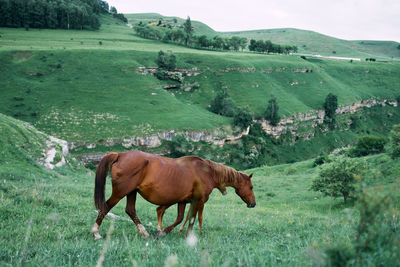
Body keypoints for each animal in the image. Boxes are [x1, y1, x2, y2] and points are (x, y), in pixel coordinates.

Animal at [90, 151, 256, 241]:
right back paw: (96, 233)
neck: (207, 172)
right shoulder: (198, 200)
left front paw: (163, 232)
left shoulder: (183, 201)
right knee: (106, 207)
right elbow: (193, 218)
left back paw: (144, 233)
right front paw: (188, 235)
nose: (253, 204)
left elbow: (180, 218)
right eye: (251, 187)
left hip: (131, 192)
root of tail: (120, 154)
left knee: (130, 210)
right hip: (121, 192)